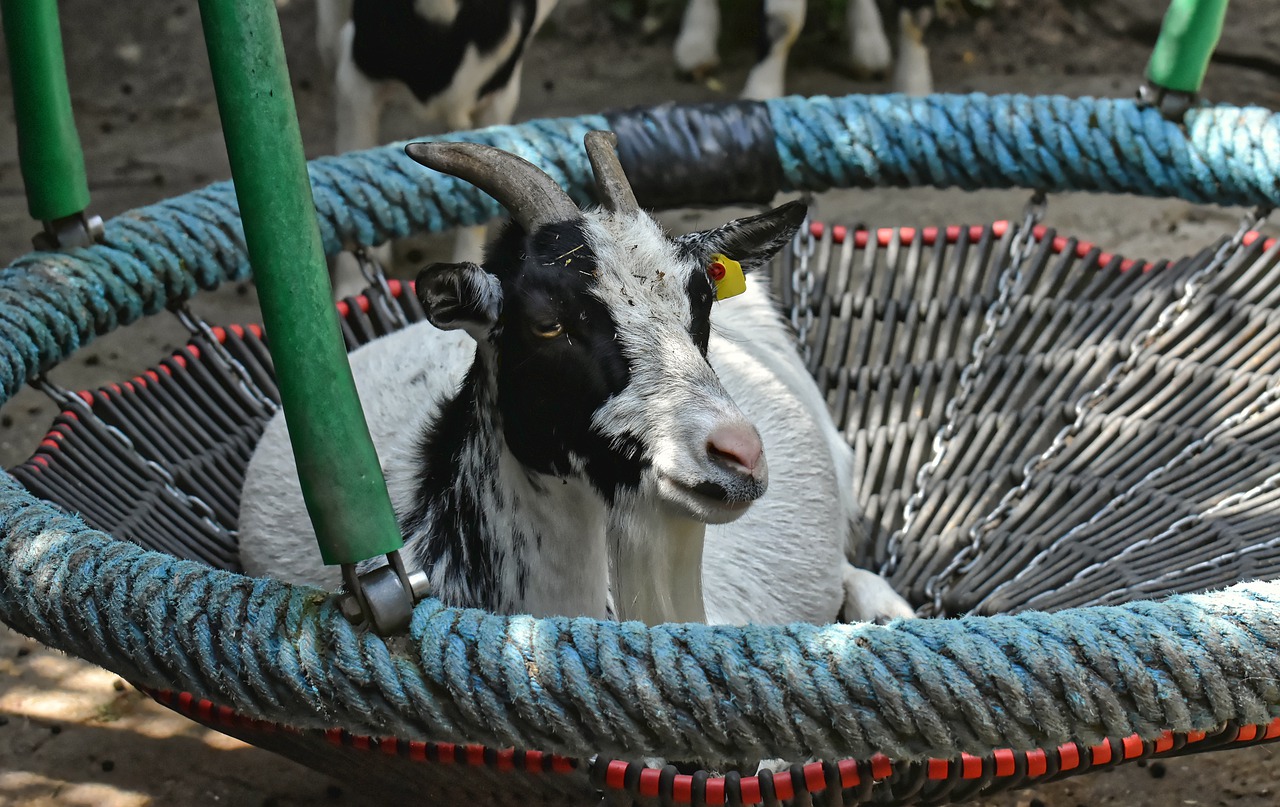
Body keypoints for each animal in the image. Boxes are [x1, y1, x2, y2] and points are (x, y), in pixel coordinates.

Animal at [675, 0, 936, 99]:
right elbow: (785, 18)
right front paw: (761, 93)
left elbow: (918, 17)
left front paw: (914, 90)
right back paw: (696, 42)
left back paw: (868, 41)